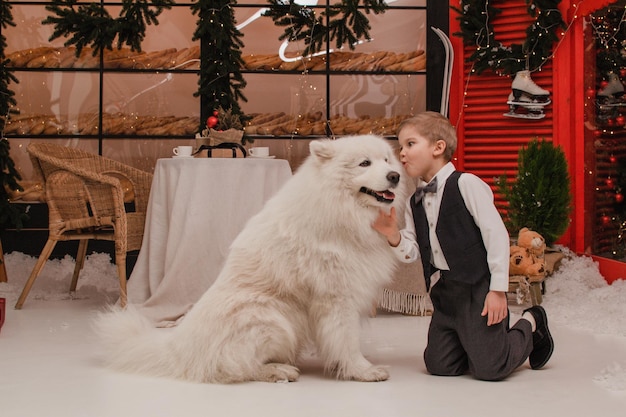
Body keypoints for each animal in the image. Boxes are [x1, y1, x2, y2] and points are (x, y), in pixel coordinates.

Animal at [92, 135, 404, 382]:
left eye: (387, 160)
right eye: (364, 163)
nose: (395, 176)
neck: (339, 209)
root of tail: (180, 349)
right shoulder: (338, 297)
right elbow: (347, 340)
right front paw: (363, 371)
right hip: (273, 318)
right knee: (234, 366)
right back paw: (279, 371)